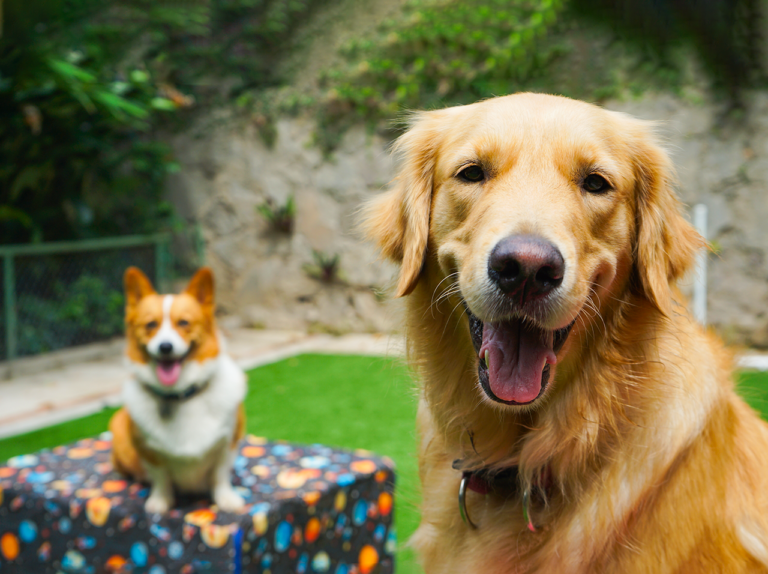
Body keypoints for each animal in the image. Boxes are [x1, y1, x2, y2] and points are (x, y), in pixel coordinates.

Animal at [108, 268, 244, 516]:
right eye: (151, 324)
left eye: (183, 322)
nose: (165, 347)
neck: (181, 396)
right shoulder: (148, 450)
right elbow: (161, 477)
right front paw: (160, 501)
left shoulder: (228, 441)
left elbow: (220, 475)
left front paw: (227, 500)